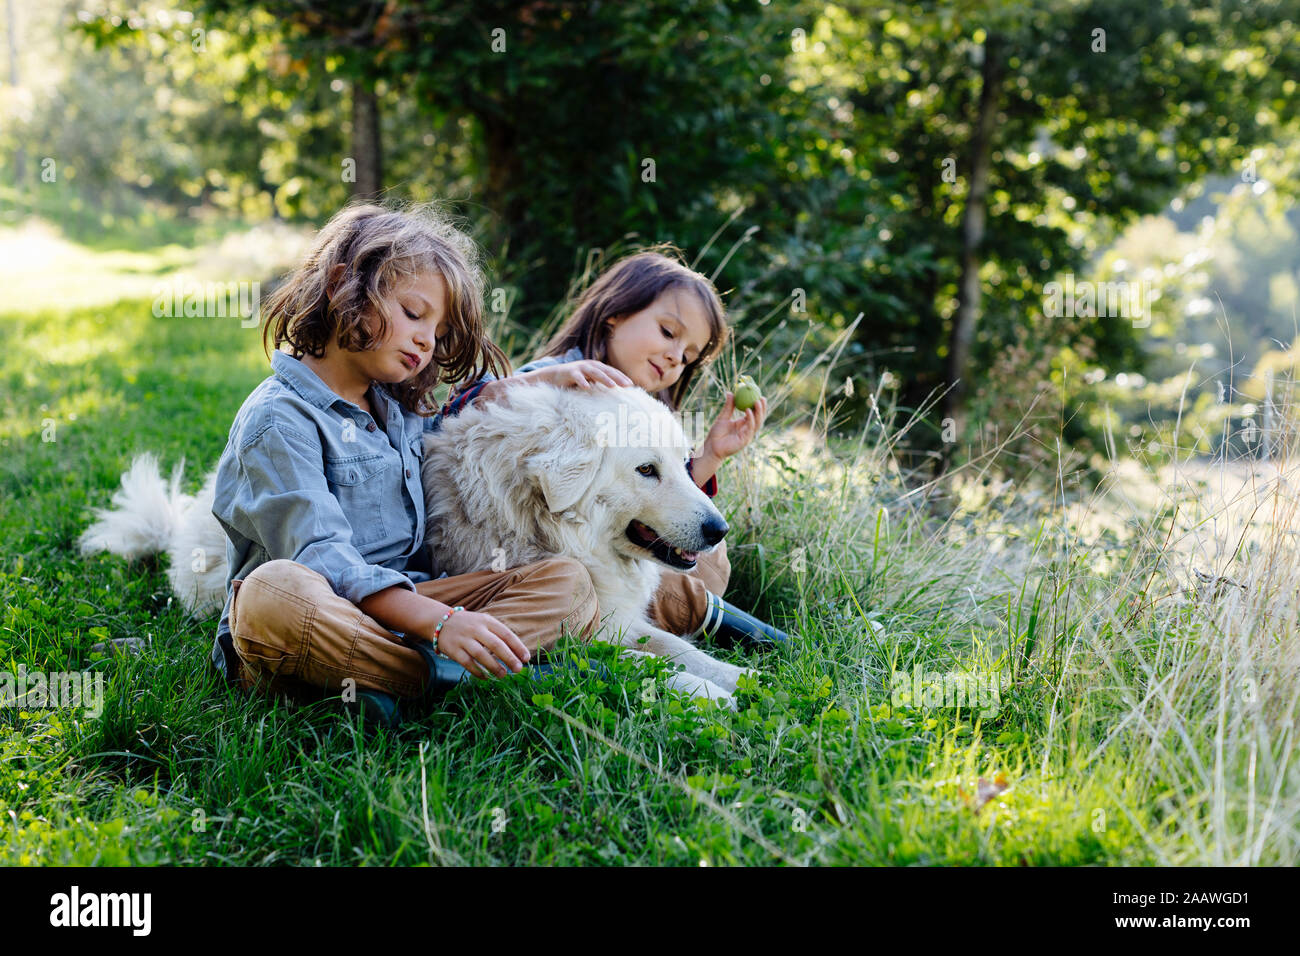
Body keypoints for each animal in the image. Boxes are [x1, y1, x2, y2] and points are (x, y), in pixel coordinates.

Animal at [421, 379, 759, 702]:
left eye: (685, 463)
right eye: (646, 469)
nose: (720, 530)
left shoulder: (619, 620)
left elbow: (677, 647)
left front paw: (742, 676)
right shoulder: (588, 636)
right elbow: (640, 662)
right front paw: (708, 692)